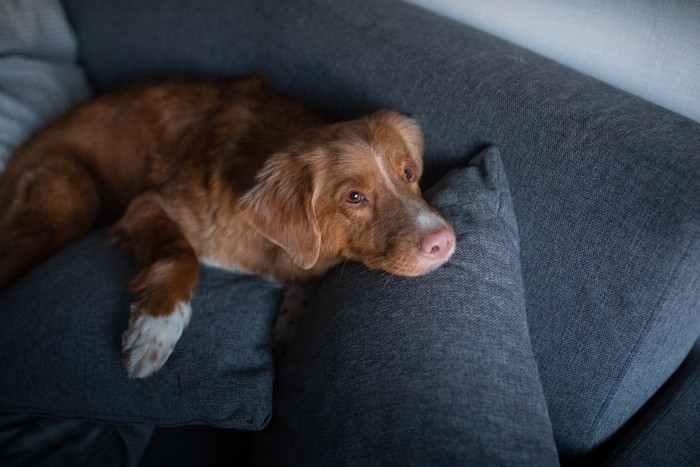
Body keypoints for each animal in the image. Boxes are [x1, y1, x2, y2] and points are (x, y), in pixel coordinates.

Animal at [0, 75, 454, 378]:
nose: (444, 242)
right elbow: (180, 254)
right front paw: (155, 329)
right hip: (67, 200)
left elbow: (306, 279)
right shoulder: (147, 205)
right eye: (354, 197)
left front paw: (290, 322)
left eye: (409, 173)